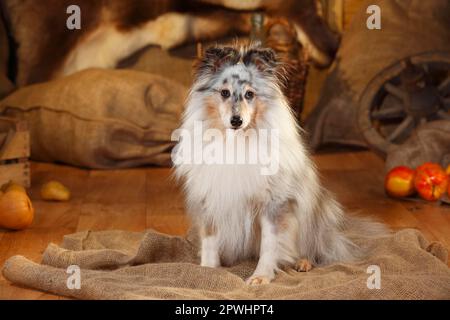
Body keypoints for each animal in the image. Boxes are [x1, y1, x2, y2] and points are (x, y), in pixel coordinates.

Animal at [172, 43, 386, 284]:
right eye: (224, 93)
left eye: (250, 94)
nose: (236, 121)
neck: (236, 141)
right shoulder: (210, 199)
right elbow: (210, 241)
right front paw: (207, 270)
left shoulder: (274, 204)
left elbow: (270, 244)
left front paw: (260, 277)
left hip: (312, 212)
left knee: (314, 247)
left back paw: (303, 262)